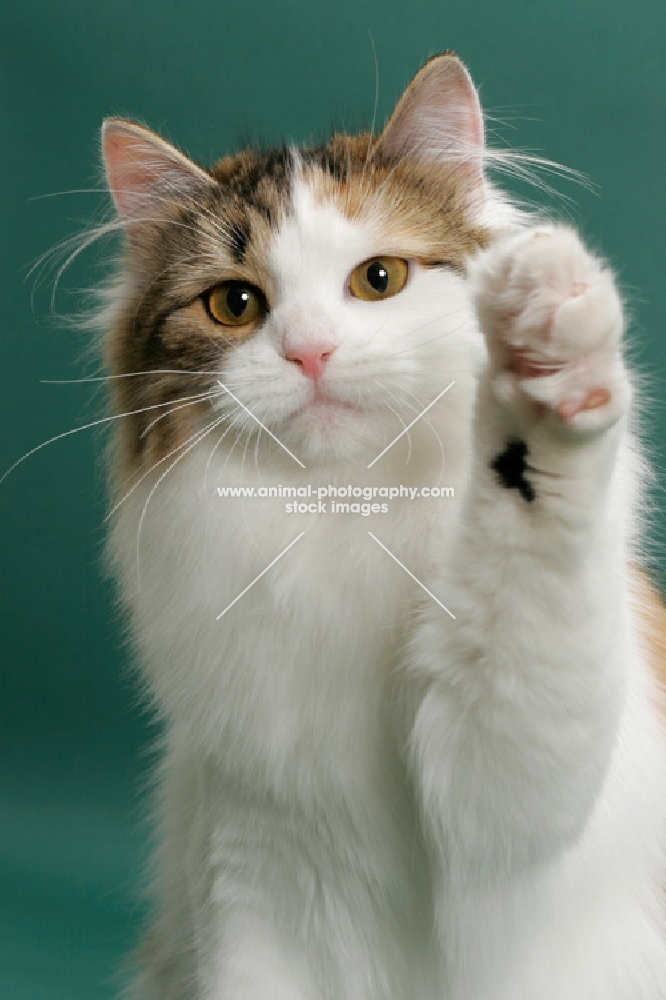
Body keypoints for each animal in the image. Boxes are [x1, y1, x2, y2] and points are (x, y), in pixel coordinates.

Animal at [97, 54, 664, 1000]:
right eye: (235, 304)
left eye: (379, 280)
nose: (311, 352)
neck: (336, 517)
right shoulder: (251, 863)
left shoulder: (507, 787)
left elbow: (536, 534)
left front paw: (548, 352)